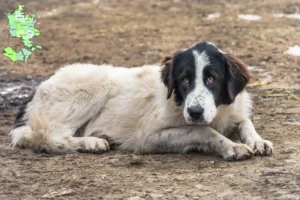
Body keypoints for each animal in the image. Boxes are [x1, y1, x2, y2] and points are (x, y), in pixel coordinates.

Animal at [9, 41, 272, 161]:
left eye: (211, 79)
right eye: (185, 80)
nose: (195, 112)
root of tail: (41, 85)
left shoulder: (233, 113)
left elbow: (245, 122)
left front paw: (257, 141)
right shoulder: (148, 137)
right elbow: (203, 131)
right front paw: (232, 146)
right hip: (97, 86)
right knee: (49, 137)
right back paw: (91, 143)